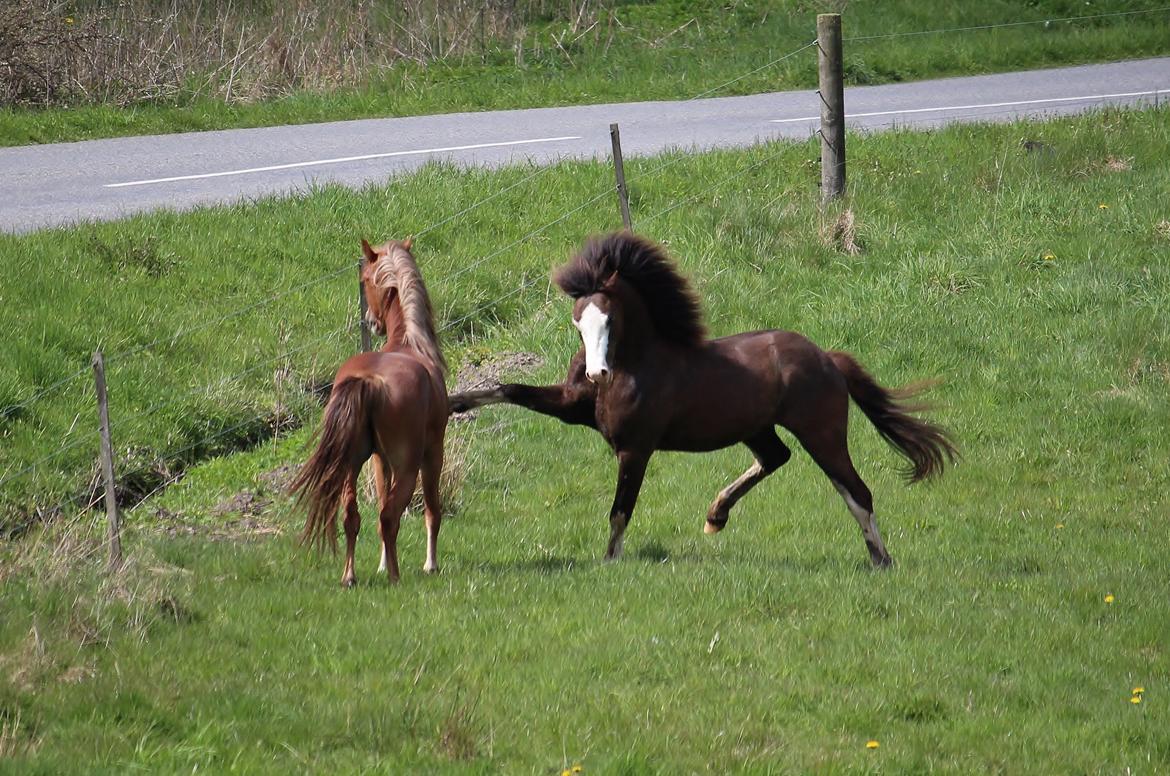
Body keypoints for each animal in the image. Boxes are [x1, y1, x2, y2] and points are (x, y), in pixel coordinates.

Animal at [291, 239, 446, 585]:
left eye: (364, 280)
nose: (370, 320)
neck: (409, 342)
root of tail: (369, 380)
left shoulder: (378, 460)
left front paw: (380, 564)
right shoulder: (433, 452)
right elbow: (432, 509)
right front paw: (430, 564)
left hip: (352, 462)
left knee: (353, 516)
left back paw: (350, 576)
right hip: (407, 463)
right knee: (390, 516)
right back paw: (396, 577)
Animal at [451, 230, 954, 564]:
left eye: (608, 319)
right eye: (578, 322)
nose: (597, 373)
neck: (636, 363)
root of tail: (827, 358)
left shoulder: (635, 448)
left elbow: (620, 510)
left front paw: (610, 564)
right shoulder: (573, 407)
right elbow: (510, 389)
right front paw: (456, 403)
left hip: (822, 432)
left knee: (855, 490)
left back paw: (881, 559)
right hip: (758, 428)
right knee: (775, 458)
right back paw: (716, 515)